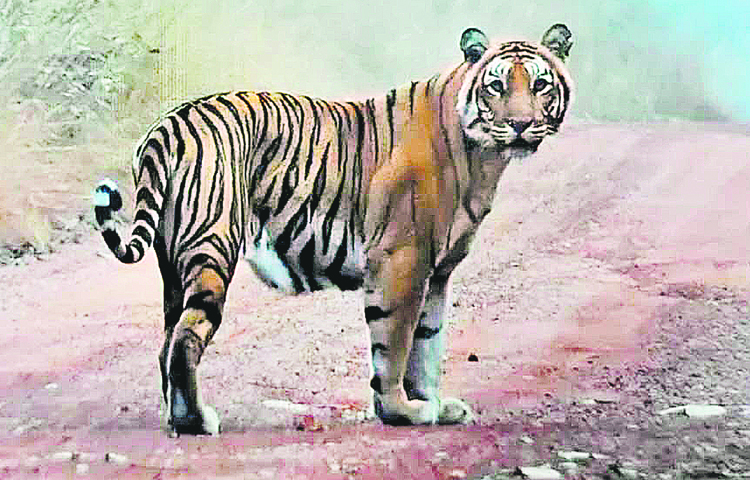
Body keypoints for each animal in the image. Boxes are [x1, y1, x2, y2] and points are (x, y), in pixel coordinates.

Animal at [93, 24, 574, 435]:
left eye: (539, 85)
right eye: (496, 86)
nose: (520, 125)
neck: (484, 157)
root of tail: (168, 124)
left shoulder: (437, 273)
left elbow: (427, 344)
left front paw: (435, 405)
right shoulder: (403, 259)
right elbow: (396, 344)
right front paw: (401, 411)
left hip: (173, 264)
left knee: (166, 342)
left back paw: (178, 419)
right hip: (212, 247)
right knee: (185, 340)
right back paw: (196, 420)